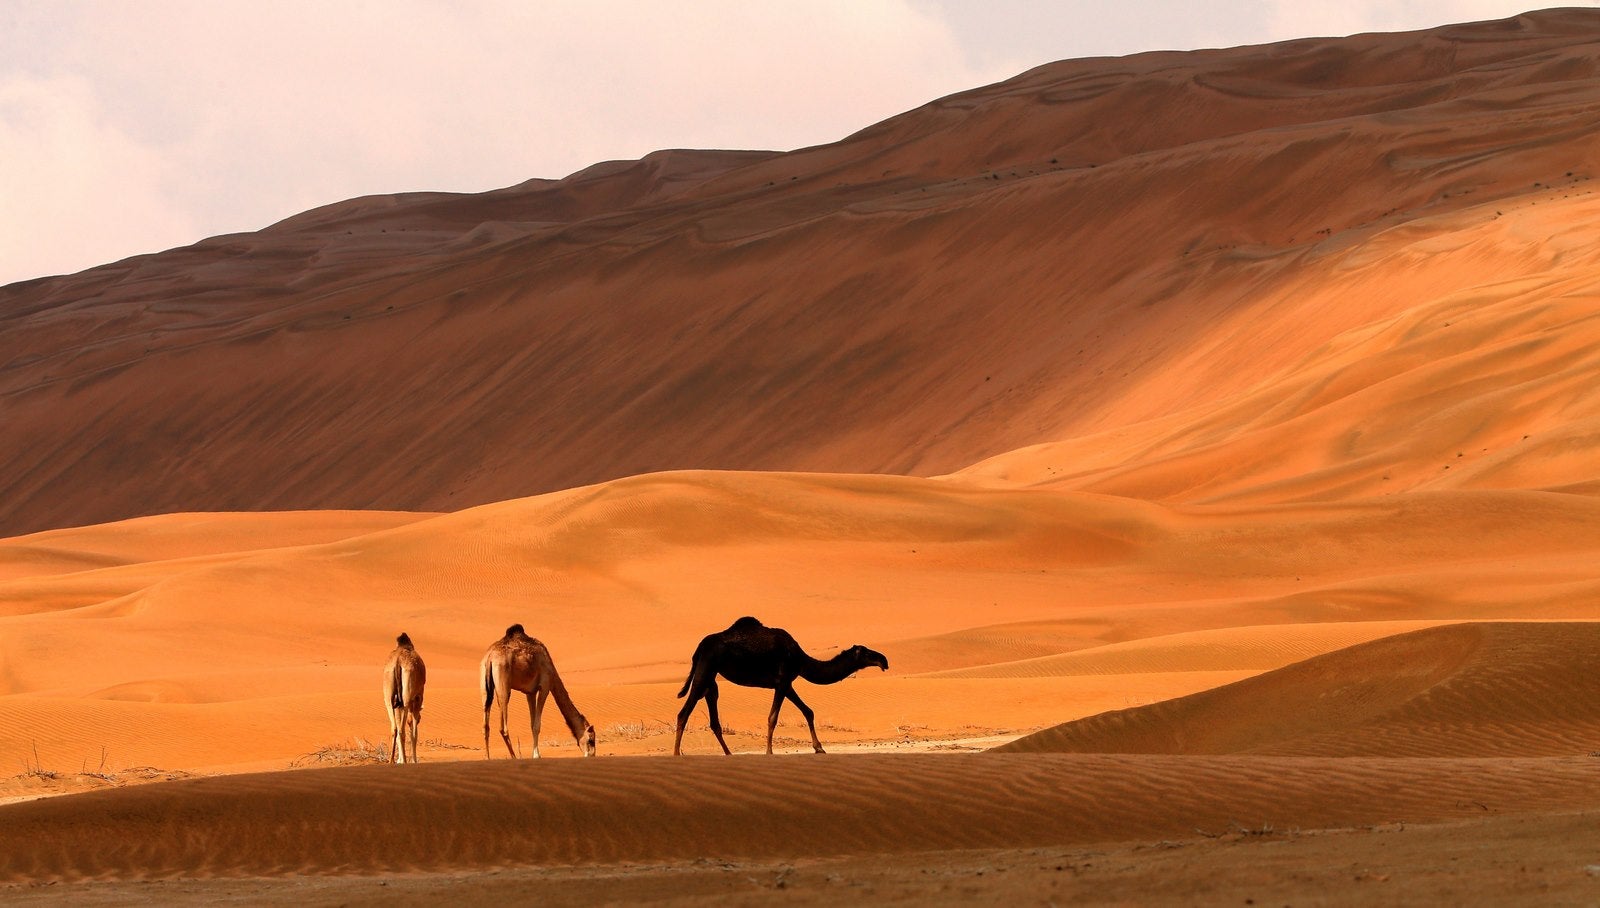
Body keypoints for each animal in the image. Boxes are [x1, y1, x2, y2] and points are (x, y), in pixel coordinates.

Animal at [376, 629, 422, 767]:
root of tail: (397, 661)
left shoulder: (397, 704)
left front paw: (399, 760)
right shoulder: (418, 697)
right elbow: (414, 732)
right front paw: (414, 760)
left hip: (388, 696)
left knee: (394, 728)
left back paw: (391, 760)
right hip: (406, 698)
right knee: (402, 730)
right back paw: (406, 761)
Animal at [480, 623, 601, 757]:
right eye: (591, 740)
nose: (592, 755)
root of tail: (490, 657)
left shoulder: (530, 692)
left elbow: (532, 724)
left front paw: (535, 754)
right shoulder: (545, 686)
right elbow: (537, 725)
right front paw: (537, 755)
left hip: (484, 684)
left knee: (485, 725)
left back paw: (488, 757)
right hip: (503, 683)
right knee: (503, 728)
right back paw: (514, 757)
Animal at [665, 613, 883, 754]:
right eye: (866, 653)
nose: (884, 660)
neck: (799, 658)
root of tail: (699, 648)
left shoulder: (786, 683)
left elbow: (808, 711)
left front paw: (819, 747)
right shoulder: (783, 680)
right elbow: (772, 718)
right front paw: (769, 752)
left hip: (711, 680)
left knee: (714, 719)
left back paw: (729, 754)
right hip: (705, 671)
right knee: (683, 714)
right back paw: (676, 754)